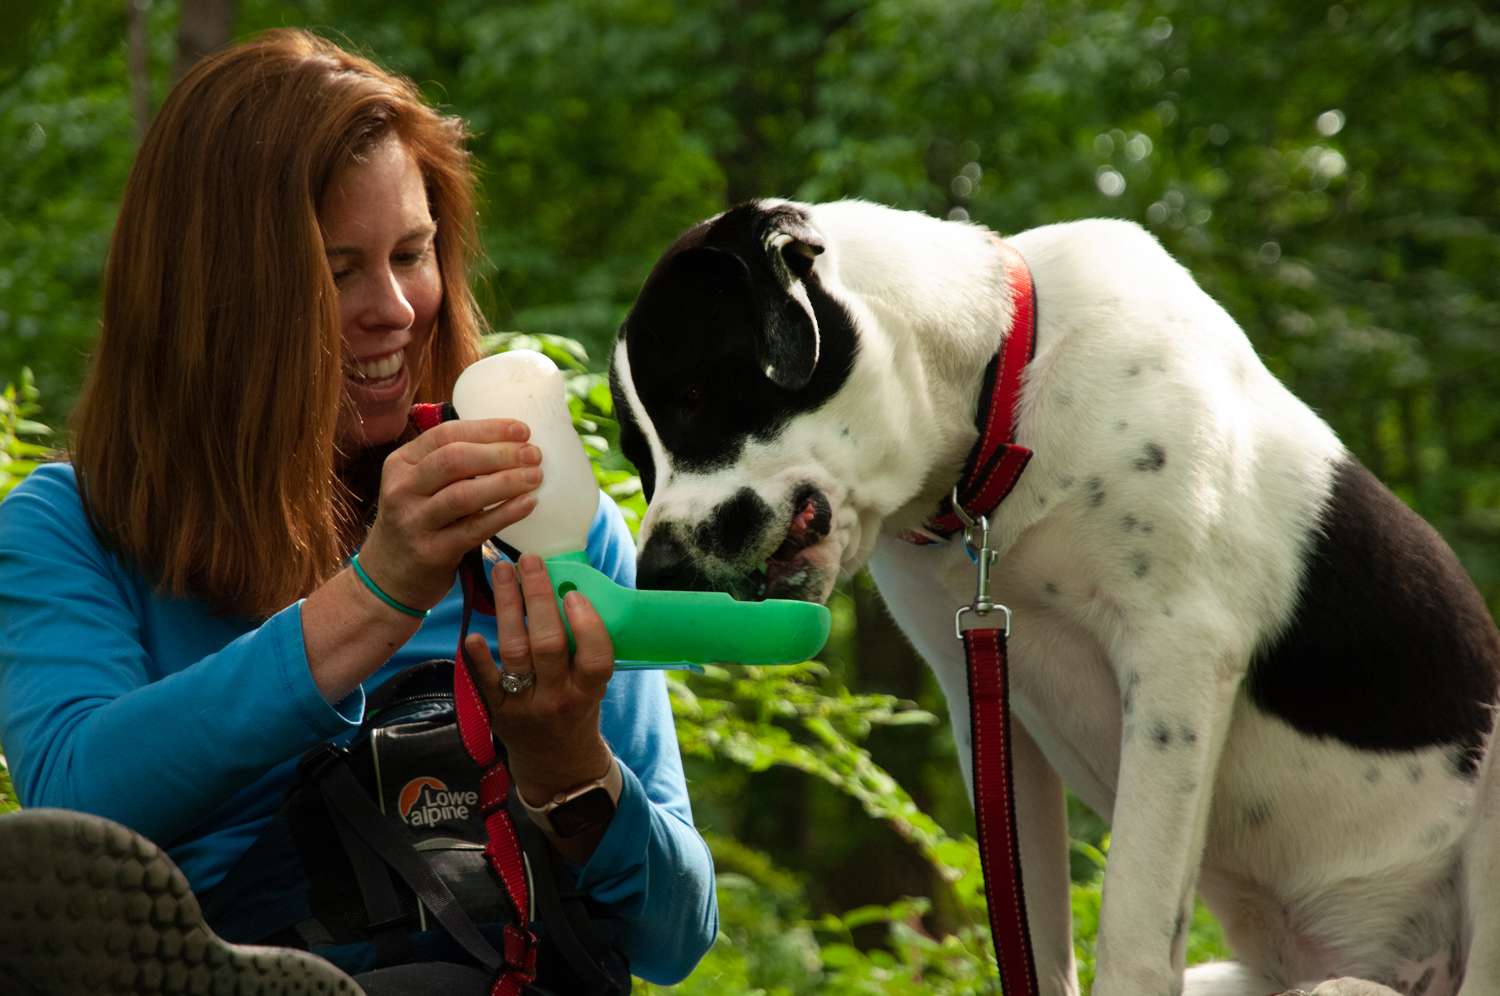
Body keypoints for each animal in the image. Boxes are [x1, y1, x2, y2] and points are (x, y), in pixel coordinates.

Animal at [606, 201, 1500, 996]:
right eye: (637, 456)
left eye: (696, 396)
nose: (657, 572)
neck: (1000, 413)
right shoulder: (985, 701)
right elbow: (1030, 934)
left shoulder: (1176, 662)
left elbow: (1133, 929)